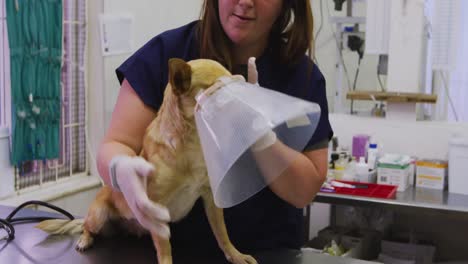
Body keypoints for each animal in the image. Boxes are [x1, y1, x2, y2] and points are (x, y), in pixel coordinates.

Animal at [35, 58, 258, 264]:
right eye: (220, 88)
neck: (193, 144)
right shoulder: (155, 209)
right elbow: (165, 248)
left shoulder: (210, 199)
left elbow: (222, 233)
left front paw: (235, 255)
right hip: (98, 214)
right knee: (87, 228)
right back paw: (84, 239)